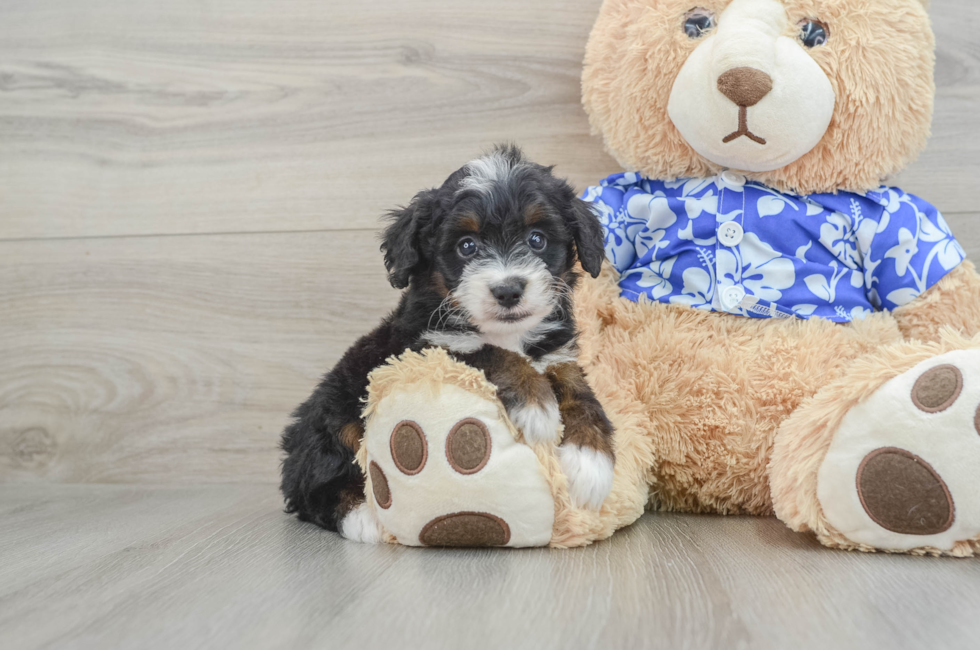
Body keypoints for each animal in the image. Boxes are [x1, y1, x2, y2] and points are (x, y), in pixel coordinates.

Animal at [280, 144, 612, 540]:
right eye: (466, 246)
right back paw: (361, 517)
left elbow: (579, 389)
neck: (508, 333)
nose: (508, 290)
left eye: (537, 239)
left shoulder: (557, 354)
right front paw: (536, 405)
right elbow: (489, 352)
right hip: (334, 410)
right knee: (311, 483)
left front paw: (591, 461)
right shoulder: (426, 345)